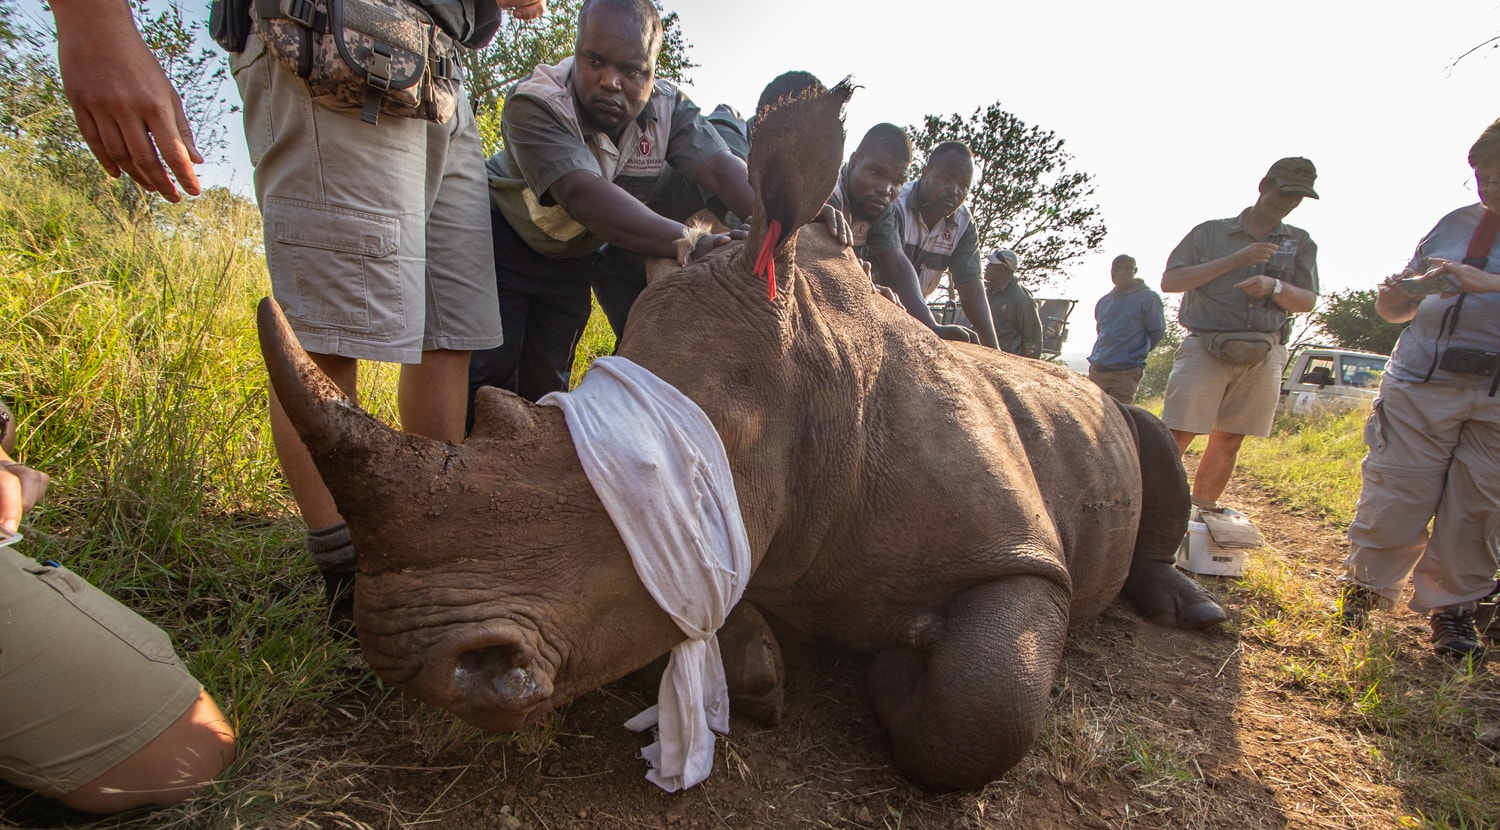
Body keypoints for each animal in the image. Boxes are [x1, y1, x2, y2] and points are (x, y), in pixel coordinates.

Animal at [257, 79, 1225, 791]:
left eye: (657, 474)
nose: (403, 653)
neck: (822, 381)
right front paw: (760, 671)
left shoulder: (1018, 550)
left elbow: (980, 710)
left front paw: (894, 674)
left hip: (1105, 415)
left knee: (1154, 439)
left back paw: (1195, 609)